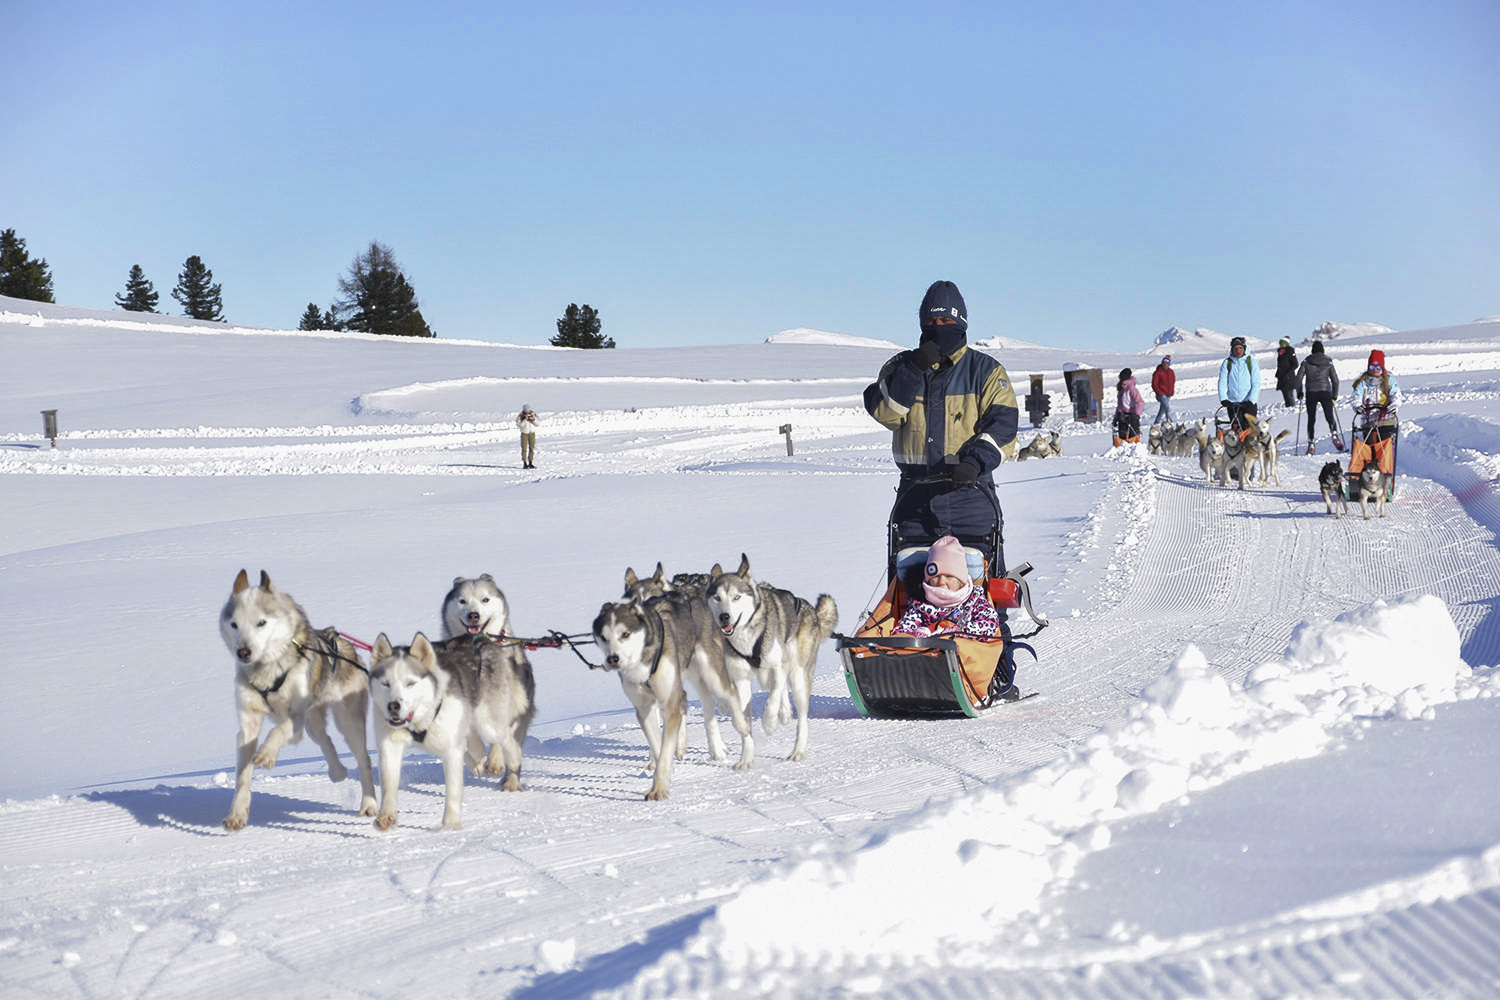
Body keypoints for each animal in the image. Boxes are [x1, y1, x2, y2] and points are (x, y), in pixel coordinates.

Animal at [219, 566, 378, 833]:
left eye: (261, 622)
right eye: (234, 624)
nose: (243, 653)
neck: (267, 673)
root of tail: (346, 645)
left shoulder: (295, 718)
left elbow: (278, 731)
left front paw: (266, 754)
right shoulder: (249, 724)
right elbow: (242, 775)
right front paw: (237, 814)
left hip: (347, 722)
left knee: (363, 760)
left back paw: (369, 804)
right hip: (314, 720)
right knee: (325, 740)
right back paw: (337, 771)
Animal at [367, 632, 534, 827]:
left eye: (410, 683)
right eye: (385, 683)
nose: (393, 706)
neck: (420, 719)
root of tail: (480, 639)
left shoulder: (451, 749)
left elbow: (453, 790)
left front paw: (450, 825)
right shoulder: (390, 745)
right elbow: (388, 782)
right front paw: (386, 815)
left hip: (488, 722)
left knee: (504, 736)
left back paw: (513, 759)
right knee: (475, 743)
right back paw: (478, 760)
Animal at [699, 554, 834, 758]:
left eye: (736, 597)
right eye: (717, 597)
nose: (724, 616)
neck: (747, 638)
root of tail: (811, 610)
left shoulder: (779, 665)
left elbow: (773, 698)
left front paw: (769, 723)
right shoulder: (740, 677)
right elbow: (742, 712)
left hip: (798, 676)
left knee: (801, 716)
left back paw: (797, 750)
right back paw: (785, 713)